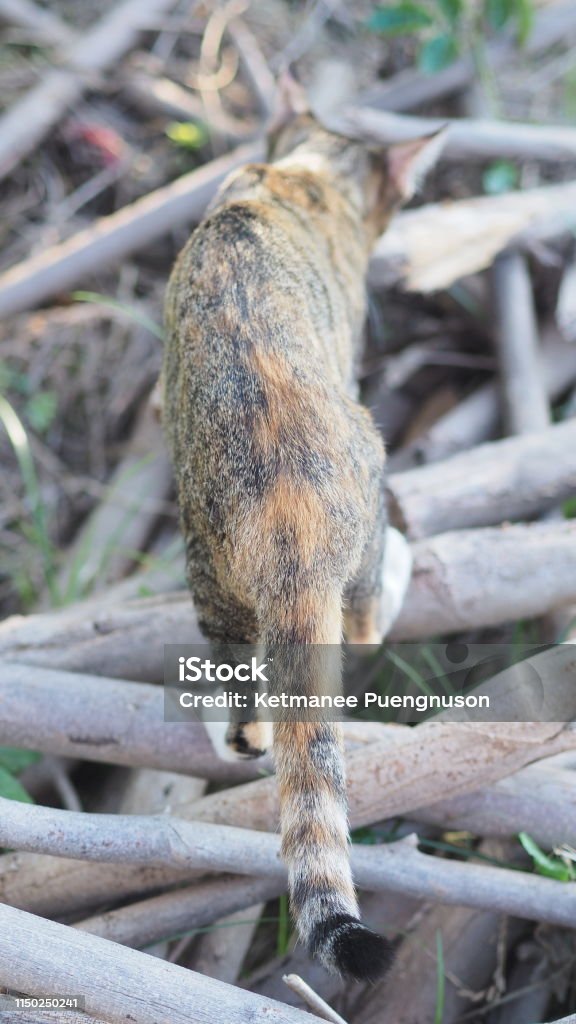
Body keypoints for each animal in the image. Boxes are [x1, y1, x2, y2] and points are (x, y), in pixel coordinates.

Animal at [161, 77, 444, 974]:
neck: (304, 170)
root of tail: (293, 527)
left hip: (204, 551)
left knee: (247, 699)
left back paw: (233, 737)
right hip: (368, 469)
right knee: (359, 625)